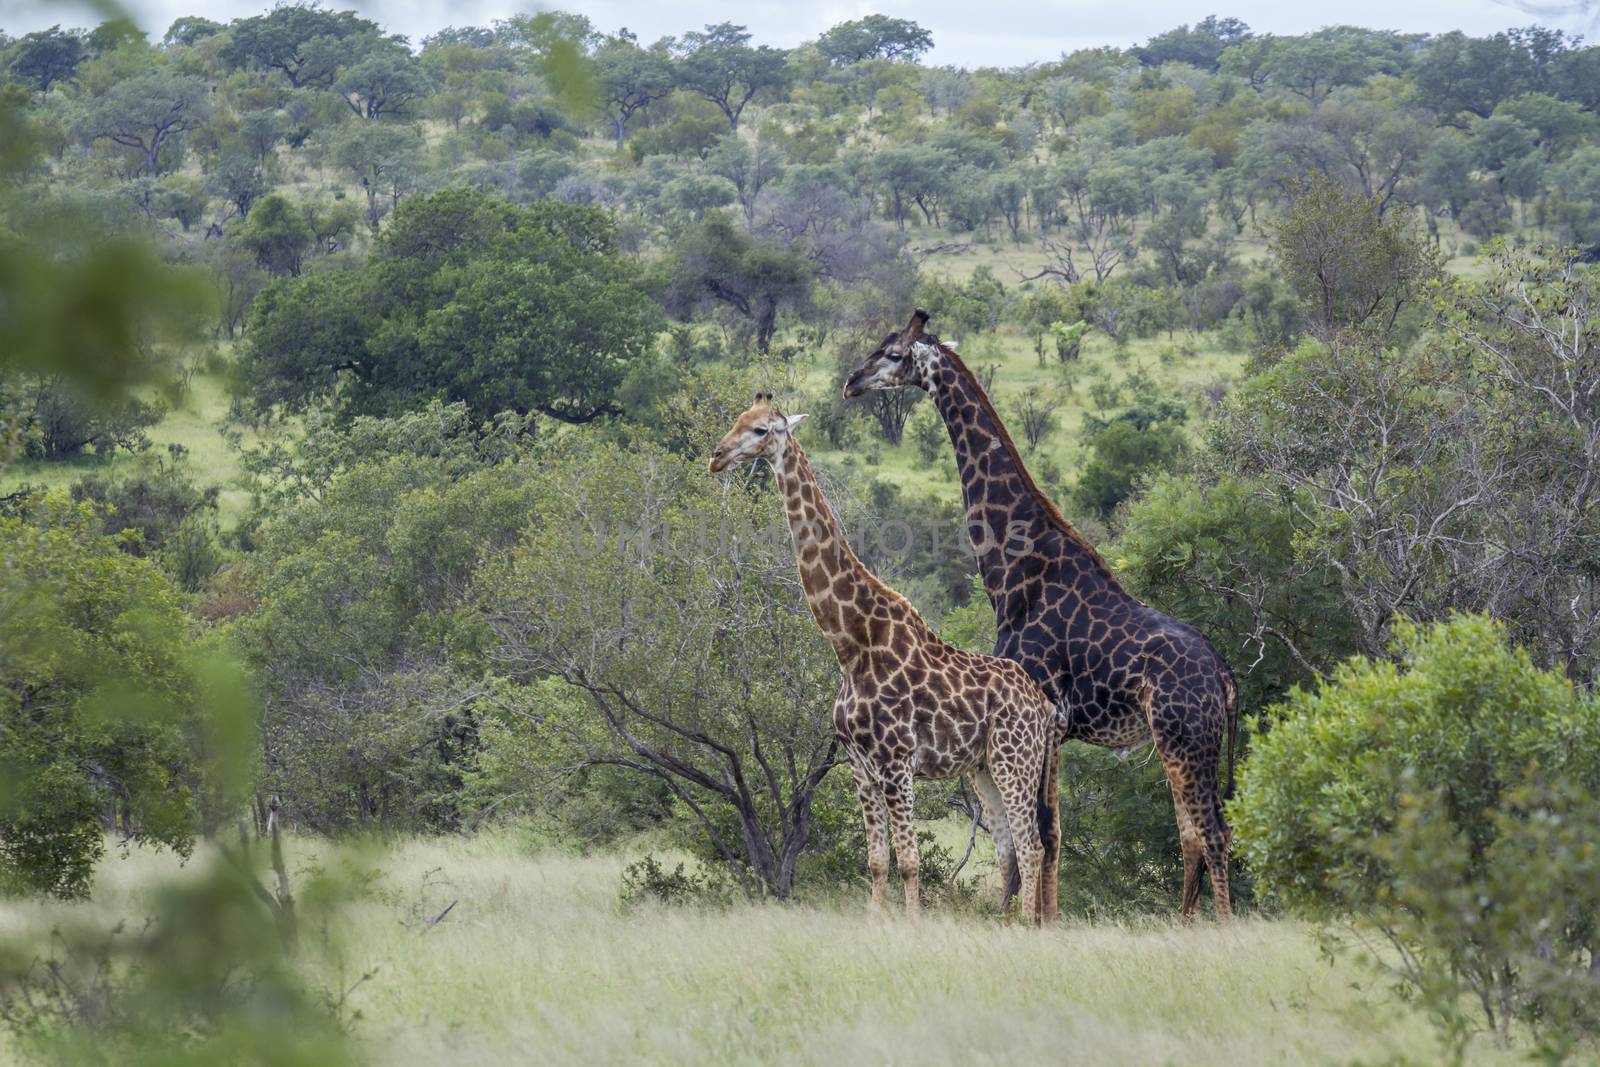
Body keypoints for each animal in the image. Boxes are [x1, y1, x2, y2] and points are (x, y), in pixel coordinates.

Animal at [713, 396, 1062, 921]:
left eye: (759, 430)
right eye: (736, 420)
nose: (716, 456)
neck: (850, 645)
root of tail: (1044, 706)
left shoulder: (897, 762)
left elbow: (910, 862)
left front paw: (912, 924)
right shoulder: (861, 766)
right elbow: (877, 861)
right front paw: (878, 921)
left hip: (1014, 760)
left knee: (1031, 846)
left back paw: (1024, 925)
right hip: (984, 768)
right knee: (1008, 850)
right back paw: (1008, 922)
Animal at [844, 313, 1241, 921]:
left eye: (891, 353)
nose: (850, 383)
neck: (1013, 570)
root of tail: (1224, 678)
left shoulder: (1041, 709)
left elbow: (1042, 830)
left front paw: (1026, 921)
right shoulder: (1049, 724)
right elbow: (1050, 832)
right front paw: (1041, 920)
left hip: (1184, 738)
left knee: (1212, 832)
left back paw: (1218, 927)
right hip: (1188, 743)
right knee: (1194, 832)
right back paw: (1187, 923)